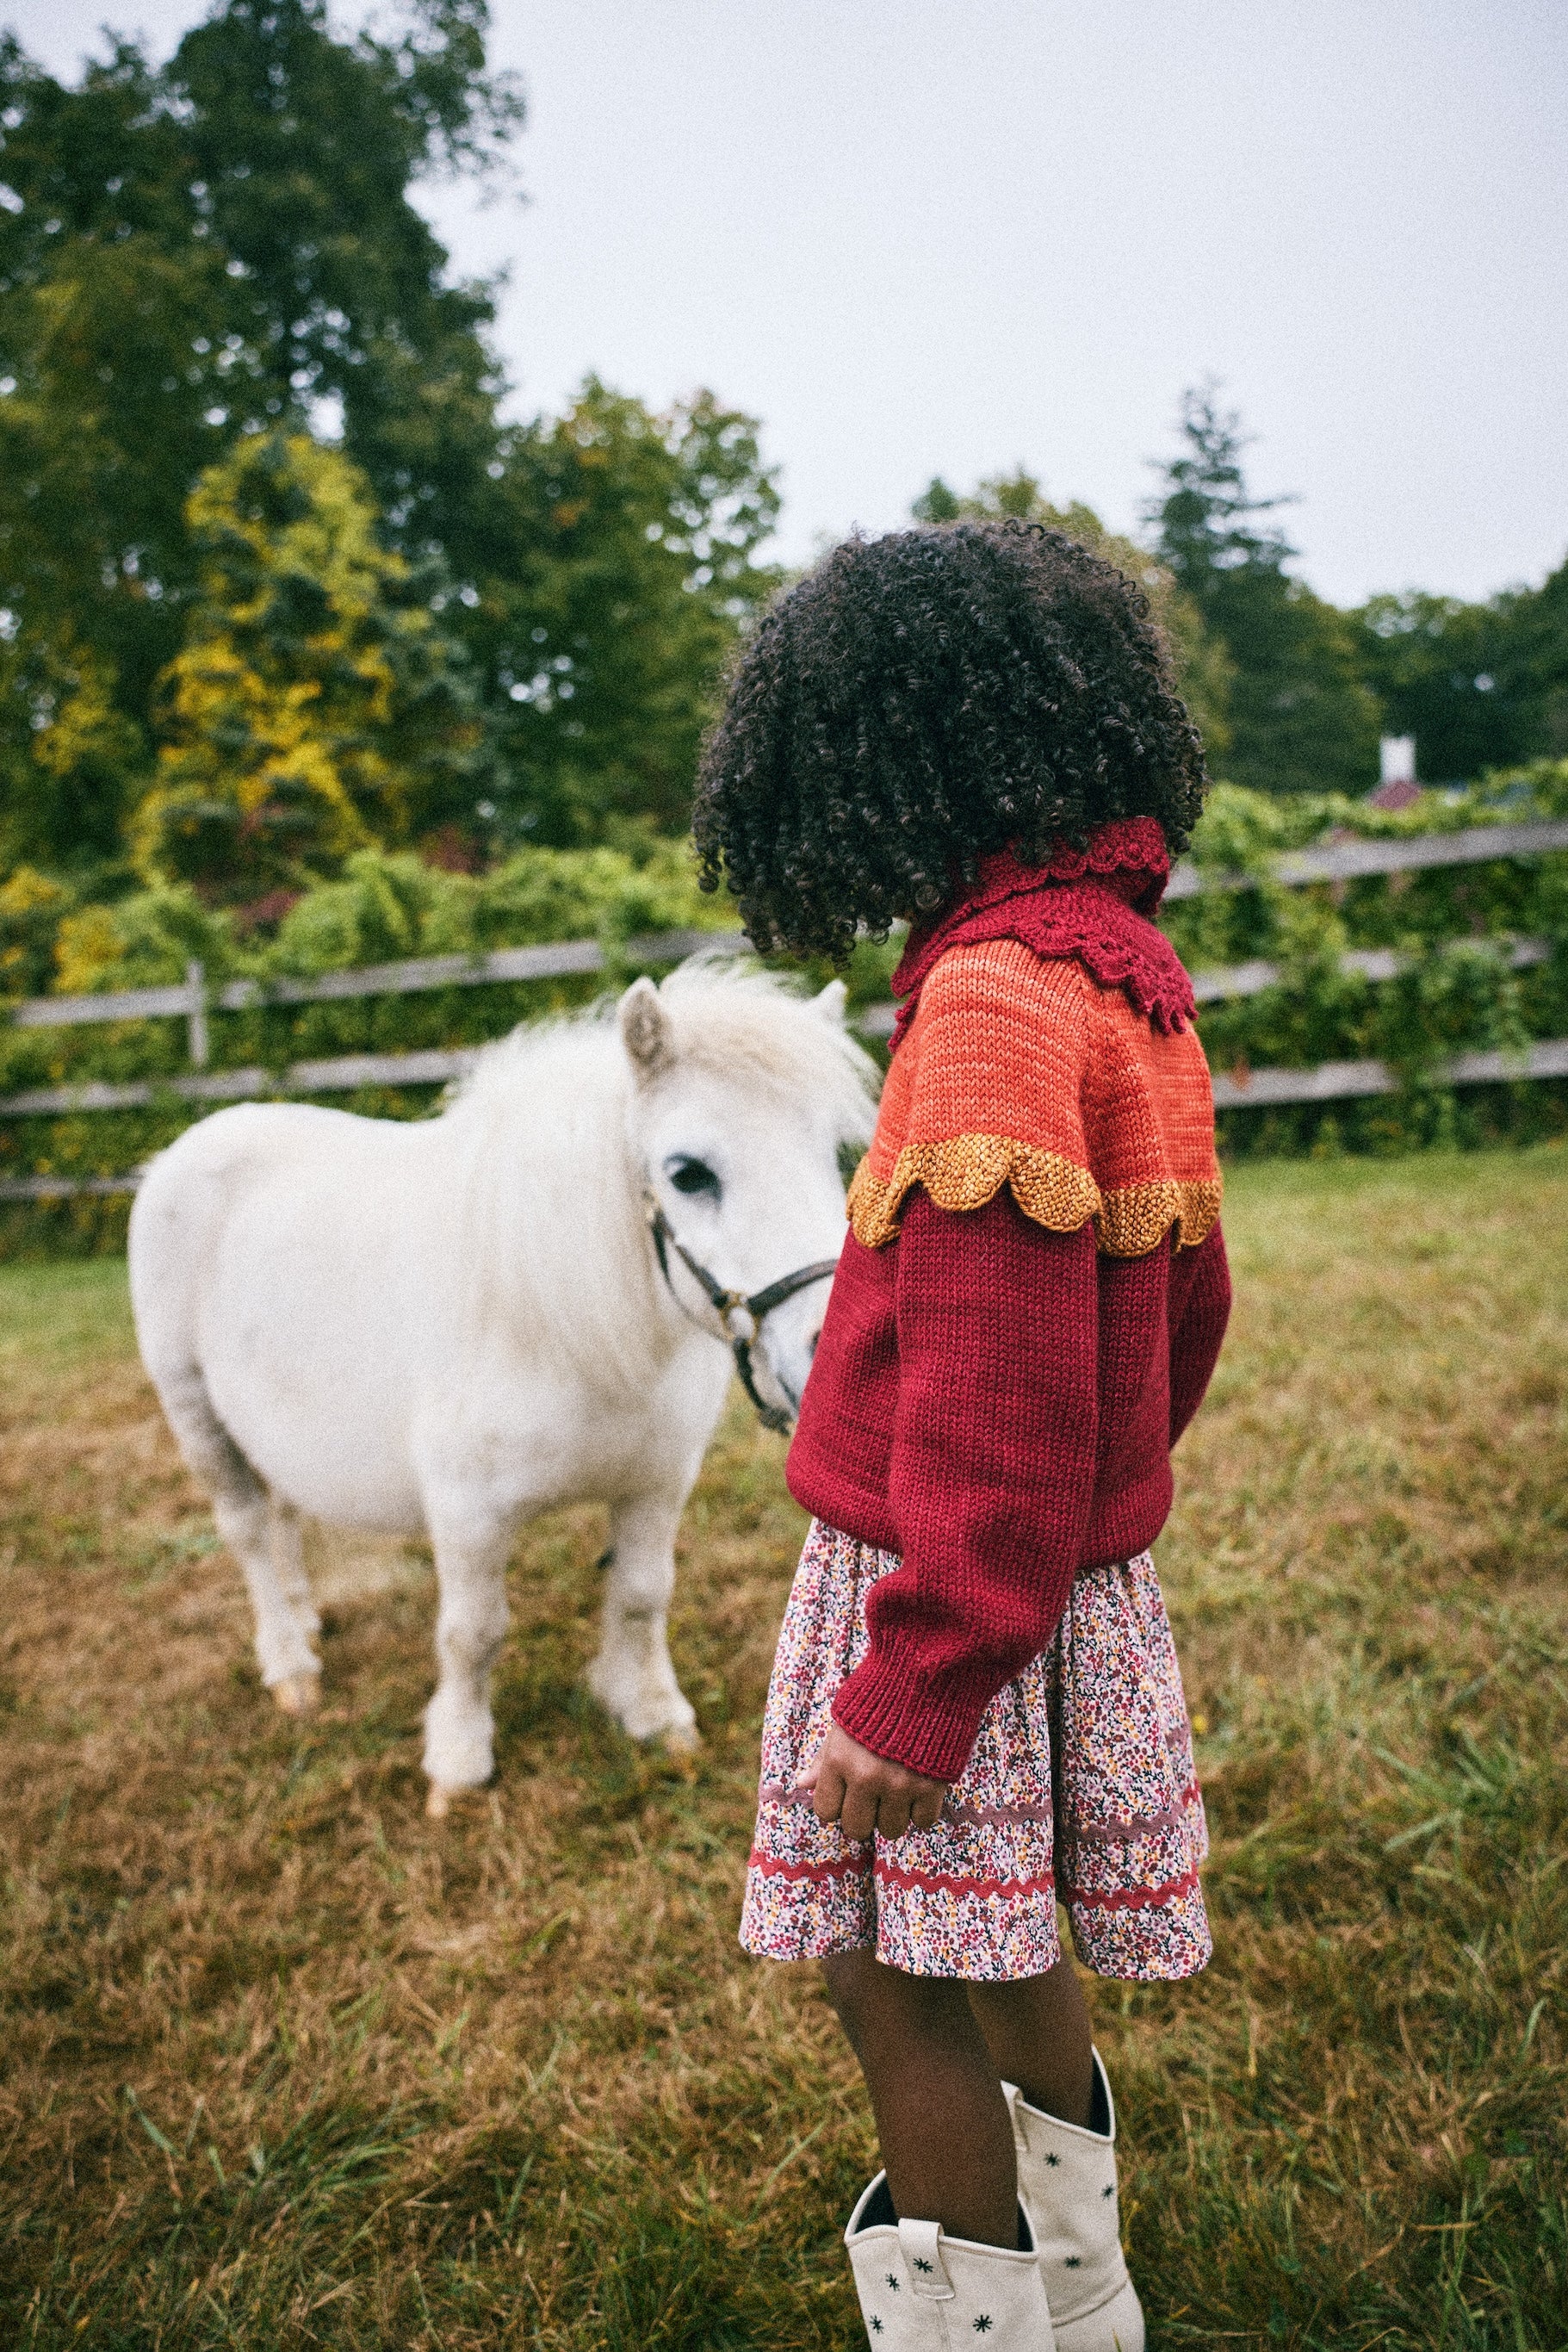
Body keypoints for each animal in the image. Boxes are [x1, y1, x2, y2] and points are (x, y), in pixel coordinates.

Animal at [128, 964, 879, 1806]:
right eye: (687, 1173)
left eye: (833, 1151)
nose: (836, 1355)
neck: (557, 1322)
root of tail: (192, 1144)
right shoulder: (467, 1514)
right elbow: (472, 1633)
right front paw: (458, 1761)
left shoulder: (655, 1485)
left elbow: (642, 1594)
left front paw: (652, 1714)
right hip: (194, 1411)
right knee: (250, 1529)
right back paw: (290, 1662)